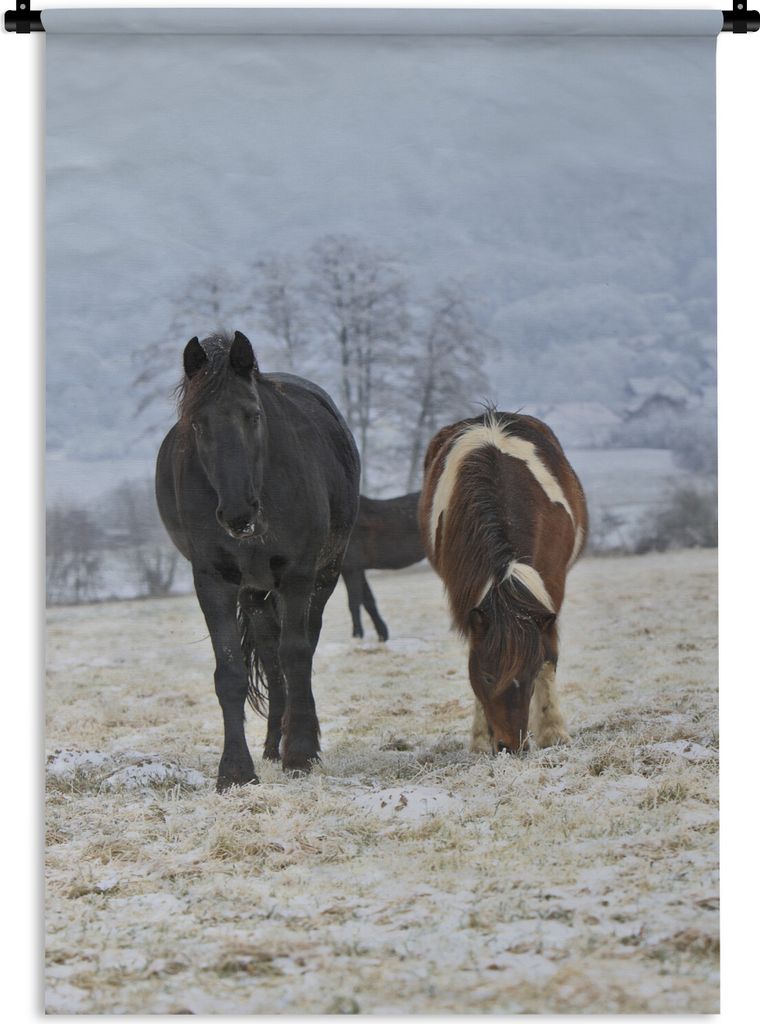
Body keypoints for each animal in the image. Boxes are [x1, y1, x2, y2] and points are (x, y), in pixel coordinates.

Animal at [156, 331, 360, 790]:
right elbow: (230, 673)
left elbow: (297, 656)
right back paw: (270, 744)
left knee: (299, 652)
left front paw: (300, 754)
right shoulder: (213, 581)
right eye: (198, 424)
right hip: (254, 592)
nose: (238, 513)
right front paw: (235, 771)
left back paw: (298, 741)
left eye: (253, 415)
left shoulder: (298, 575)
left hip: (322, 577)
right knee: (270, 657)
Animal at [340, 492, 425, 641]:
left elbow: (354, 603)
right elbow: (368, 601)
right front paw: (382, 635)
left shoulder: (351, 569)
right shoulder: (358, 569)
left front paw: (357, 636)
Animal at [419, 409, 587, 755]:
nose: (512, 746)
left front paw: (553, 731)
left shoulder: (552, 587)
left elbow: (550, 655)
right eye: (485, 676)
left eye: (530, 672)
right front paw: (481, 739)